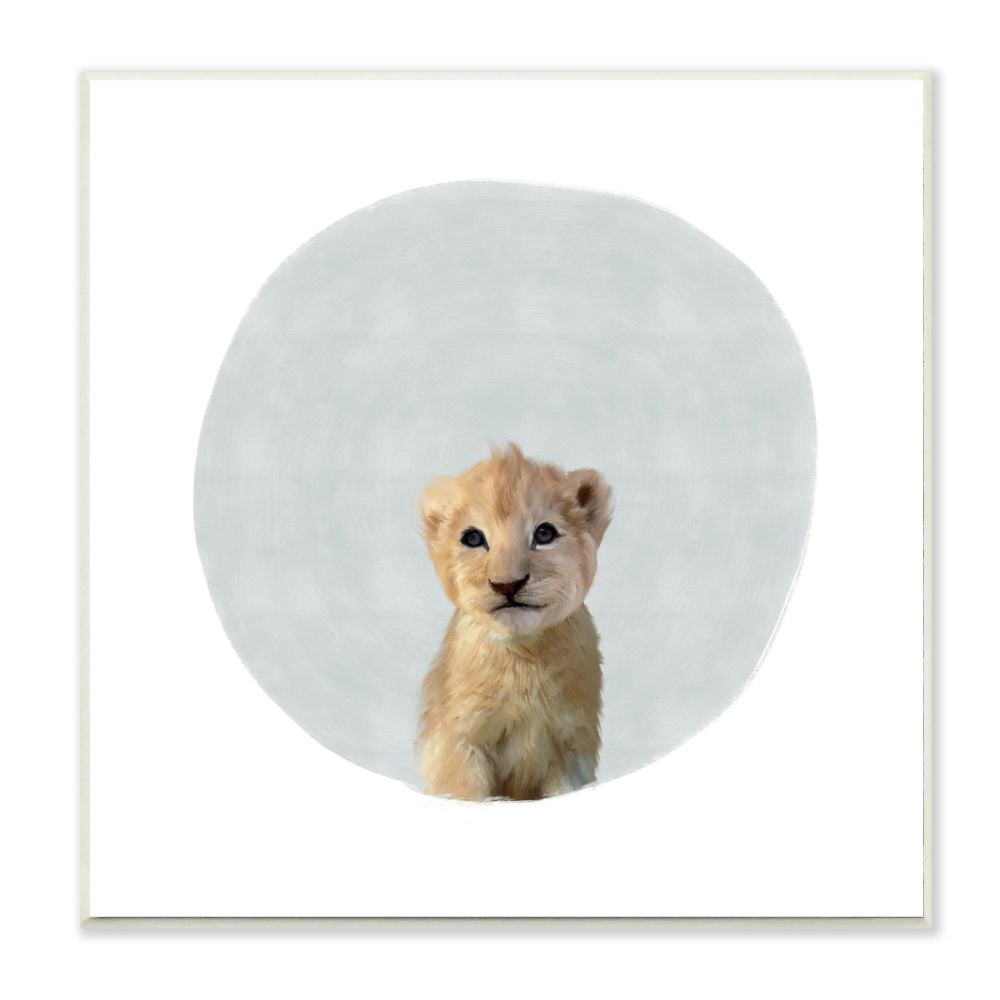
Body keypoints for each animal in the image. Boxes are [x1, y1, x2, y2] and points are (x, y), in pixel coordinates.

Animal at [417, 443, 612, 801]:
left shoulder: (570, 747)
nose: (507, 584)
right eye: (472, 538)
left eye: (544, 533)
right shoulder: (460, 744)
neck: (522, 656)